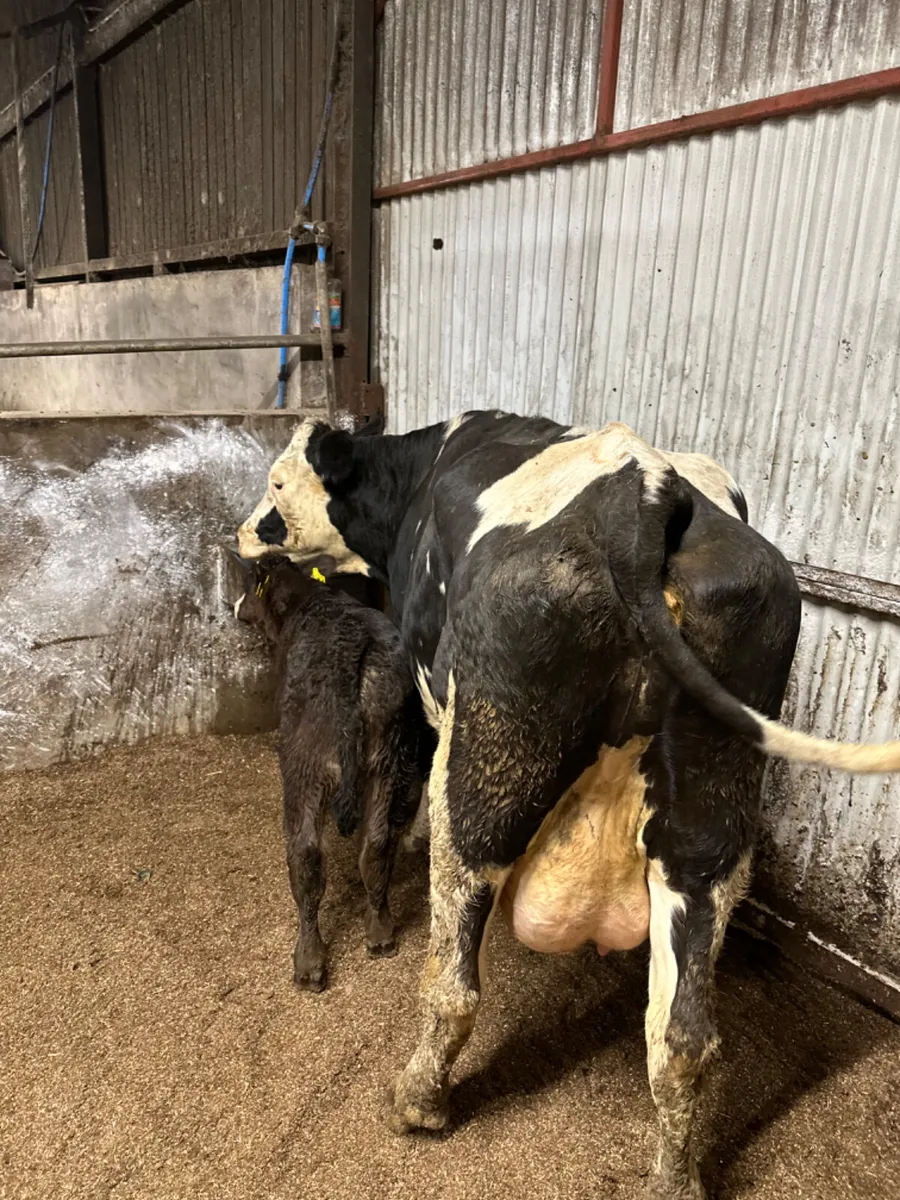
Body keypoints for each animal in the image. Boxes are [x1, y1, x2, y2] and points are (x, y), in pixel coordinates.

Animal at [232, 552, 430, 990]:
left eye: (249, 585)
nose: (235, 608)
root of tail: (350, 651)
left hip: (303, 766)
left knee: (306, 856)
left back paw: (309, 962)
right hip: (388, 761)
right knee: (376, 844)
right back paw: (380, 933)